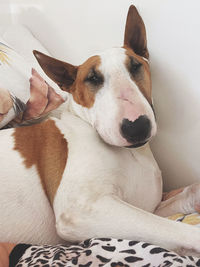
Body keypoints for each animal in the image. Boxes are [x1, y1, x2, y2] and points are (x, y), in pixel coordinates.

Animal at [0, 5, 200, 256]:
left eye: (135, 66)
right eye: (93, 78)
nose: (136, 127)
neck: (131, 153)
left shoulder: (146, 206)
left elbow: (178, 202)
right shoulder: (80, 210)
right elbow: (171, 228)